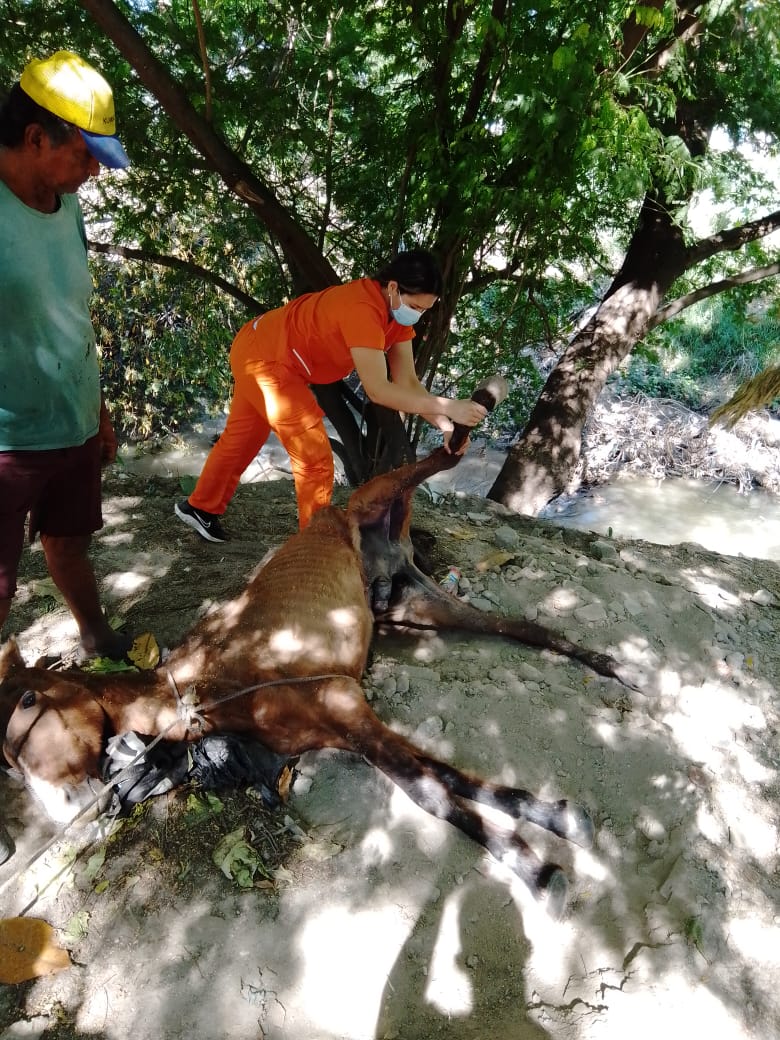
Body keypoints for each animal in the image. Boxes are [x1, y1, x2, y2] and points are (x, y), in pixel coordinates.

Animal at [0, 382, 636, 919]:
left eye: (29, 702)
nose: (64, 810)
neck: (214, 684)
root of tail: (362, 526)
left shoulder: (342, 702)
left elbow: (432, 788)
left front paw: (541, 870)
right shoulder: (341, 725)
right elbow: (439, 777)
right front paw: (558, 822)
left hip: (386, 491)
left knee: (445, 456)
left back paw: (473, 406)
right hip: (411, 603)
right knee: (520, 627)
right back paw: (614, 667)